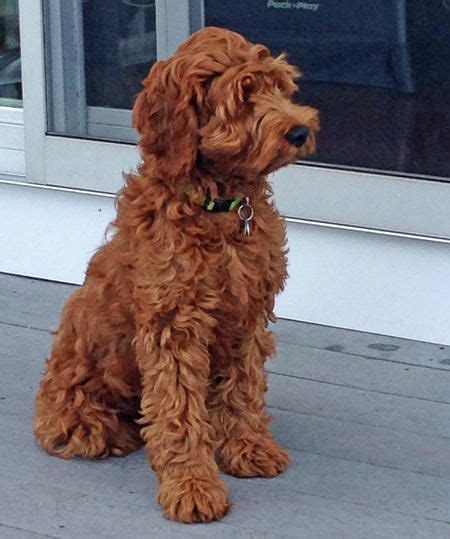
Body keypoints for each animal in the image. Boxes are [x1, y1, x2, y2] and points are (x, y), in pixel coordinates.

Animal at [33, 26, 318, 524]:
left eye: (280, 87)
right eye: (244, 94)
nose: (300, 131)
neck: (220, 206)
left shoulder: (246, 315)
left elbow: (243, 389)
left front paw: (248, 446)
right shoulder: (174, 324)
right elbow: (179, 411)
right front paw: (193, 485)